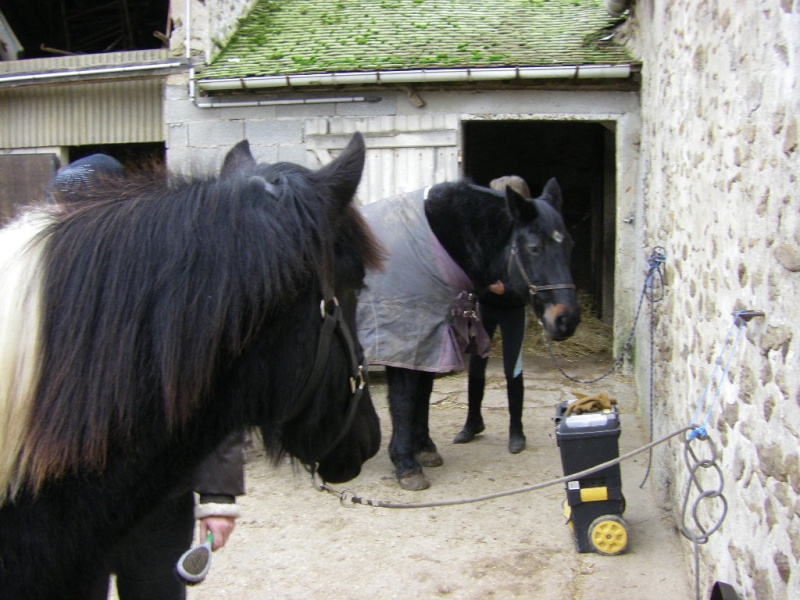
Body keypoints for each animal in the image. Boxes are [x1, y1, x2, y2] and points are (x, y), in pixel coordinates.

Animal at [360, 180, 580, 490]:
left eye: (570, 244)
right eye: (534, 248)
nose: (566, 320)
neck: (432, 245)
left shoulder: (434, 342)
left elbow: (423, 395)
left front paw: (424, 448)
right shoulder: (406, 344)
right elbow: (403, 400)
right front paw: (406, 464)